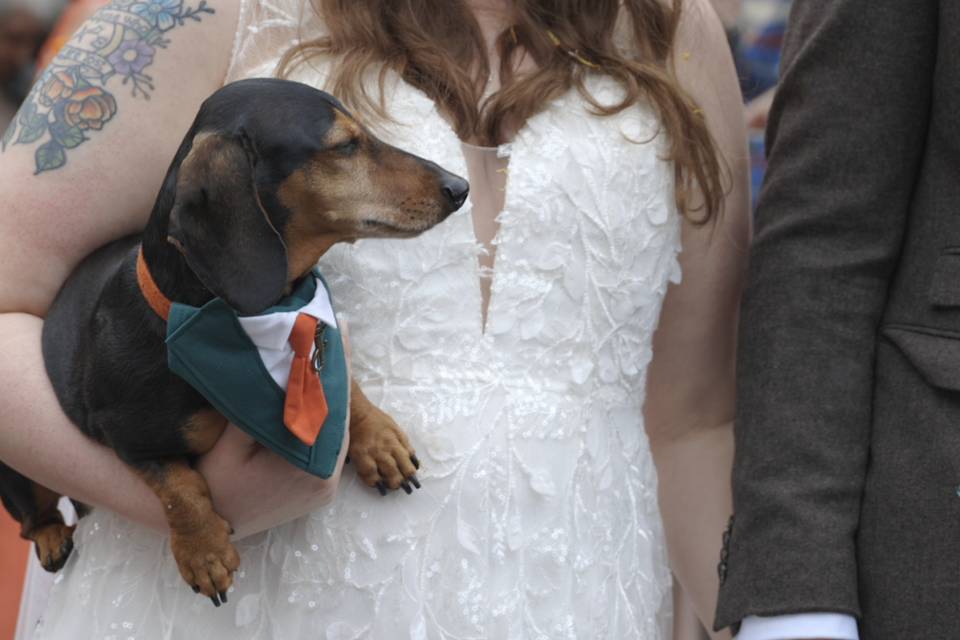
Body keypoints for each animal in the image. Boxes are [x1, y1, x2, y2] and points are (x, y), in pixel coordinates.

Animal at [0, 79, 468, 604]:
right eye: (345, 145)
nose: (460, 187)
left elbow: (343, 385)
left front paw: (378, 439)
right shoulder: (124, 436)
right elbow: (178, 485)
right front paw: (203, 550)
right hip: (17, 471)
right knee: (33, 514)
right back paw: (51, 537)